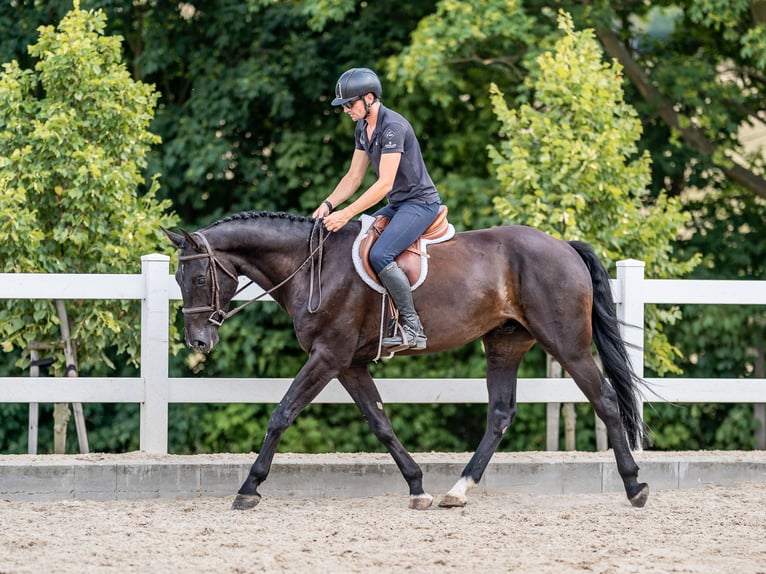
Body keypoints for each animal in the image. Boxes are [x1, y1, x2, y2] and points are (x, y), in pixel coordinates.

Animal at [165, 212, 652, 512]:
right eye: (179, 278)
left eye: (200, 277)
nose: (198, 340)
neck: (312, 267)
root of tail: (563, 246)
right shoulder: (348, 364)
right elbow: (380, 421)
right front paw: (417, 486)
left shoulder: (328, 356)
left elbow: (282, 413)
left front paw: (249, 488)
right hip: (504, 345)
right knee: (500, 413)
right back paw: (458, 490)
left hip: (567, 343)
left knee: (606, 400)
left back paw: (635, 486)